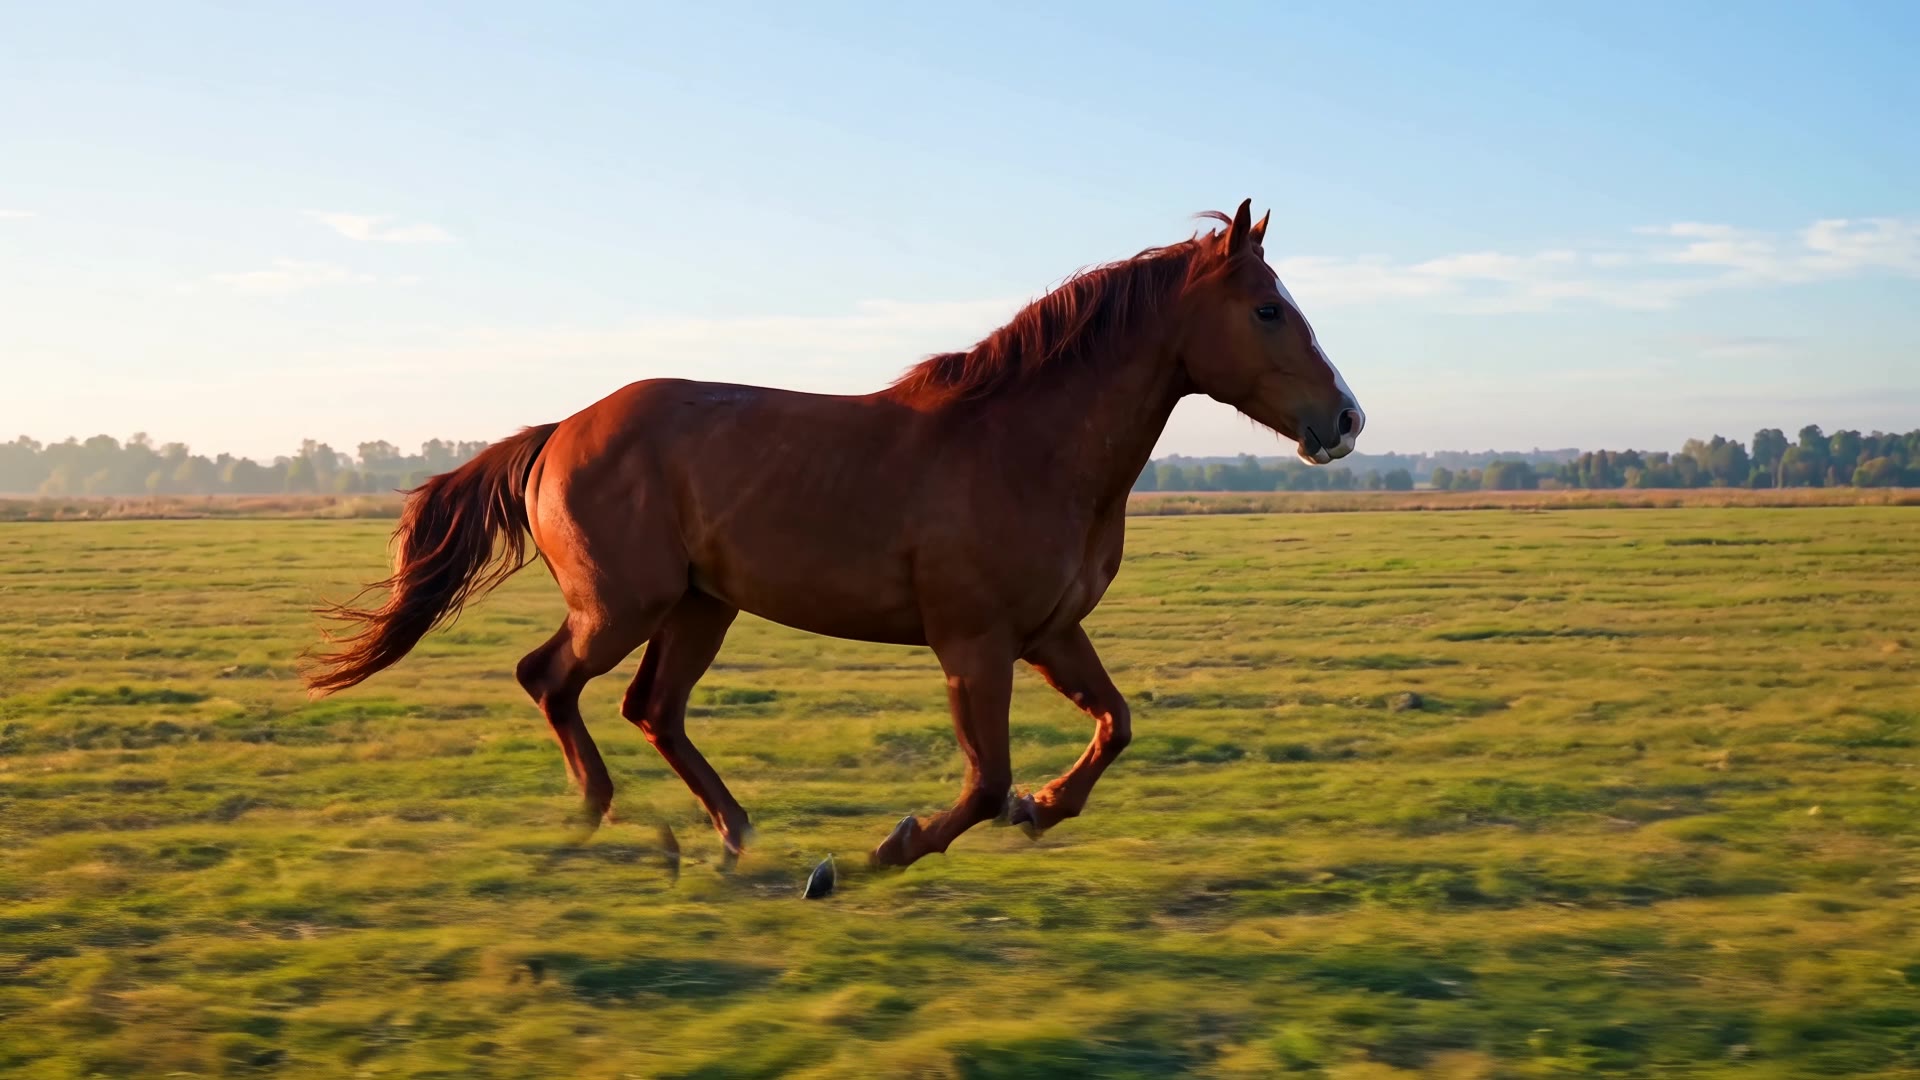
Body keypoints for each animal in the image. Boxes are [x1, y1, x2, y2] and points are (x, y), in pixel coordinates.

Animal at [302, 199, 1365, 871]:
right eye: (1269, 309)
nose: (1345, 420)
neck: (1025, 446)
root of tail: (559, 431)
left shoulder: (1050, 634)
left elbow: (1114, 725)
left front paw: (1042, 810)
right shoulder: (972, 643)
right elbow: (984, 781)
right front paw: (877, 853)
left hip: (699, 607)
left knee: (652, 708)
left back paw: (732, 832)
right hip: (621, 605)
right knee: (550, 680)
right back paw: (610, 820)